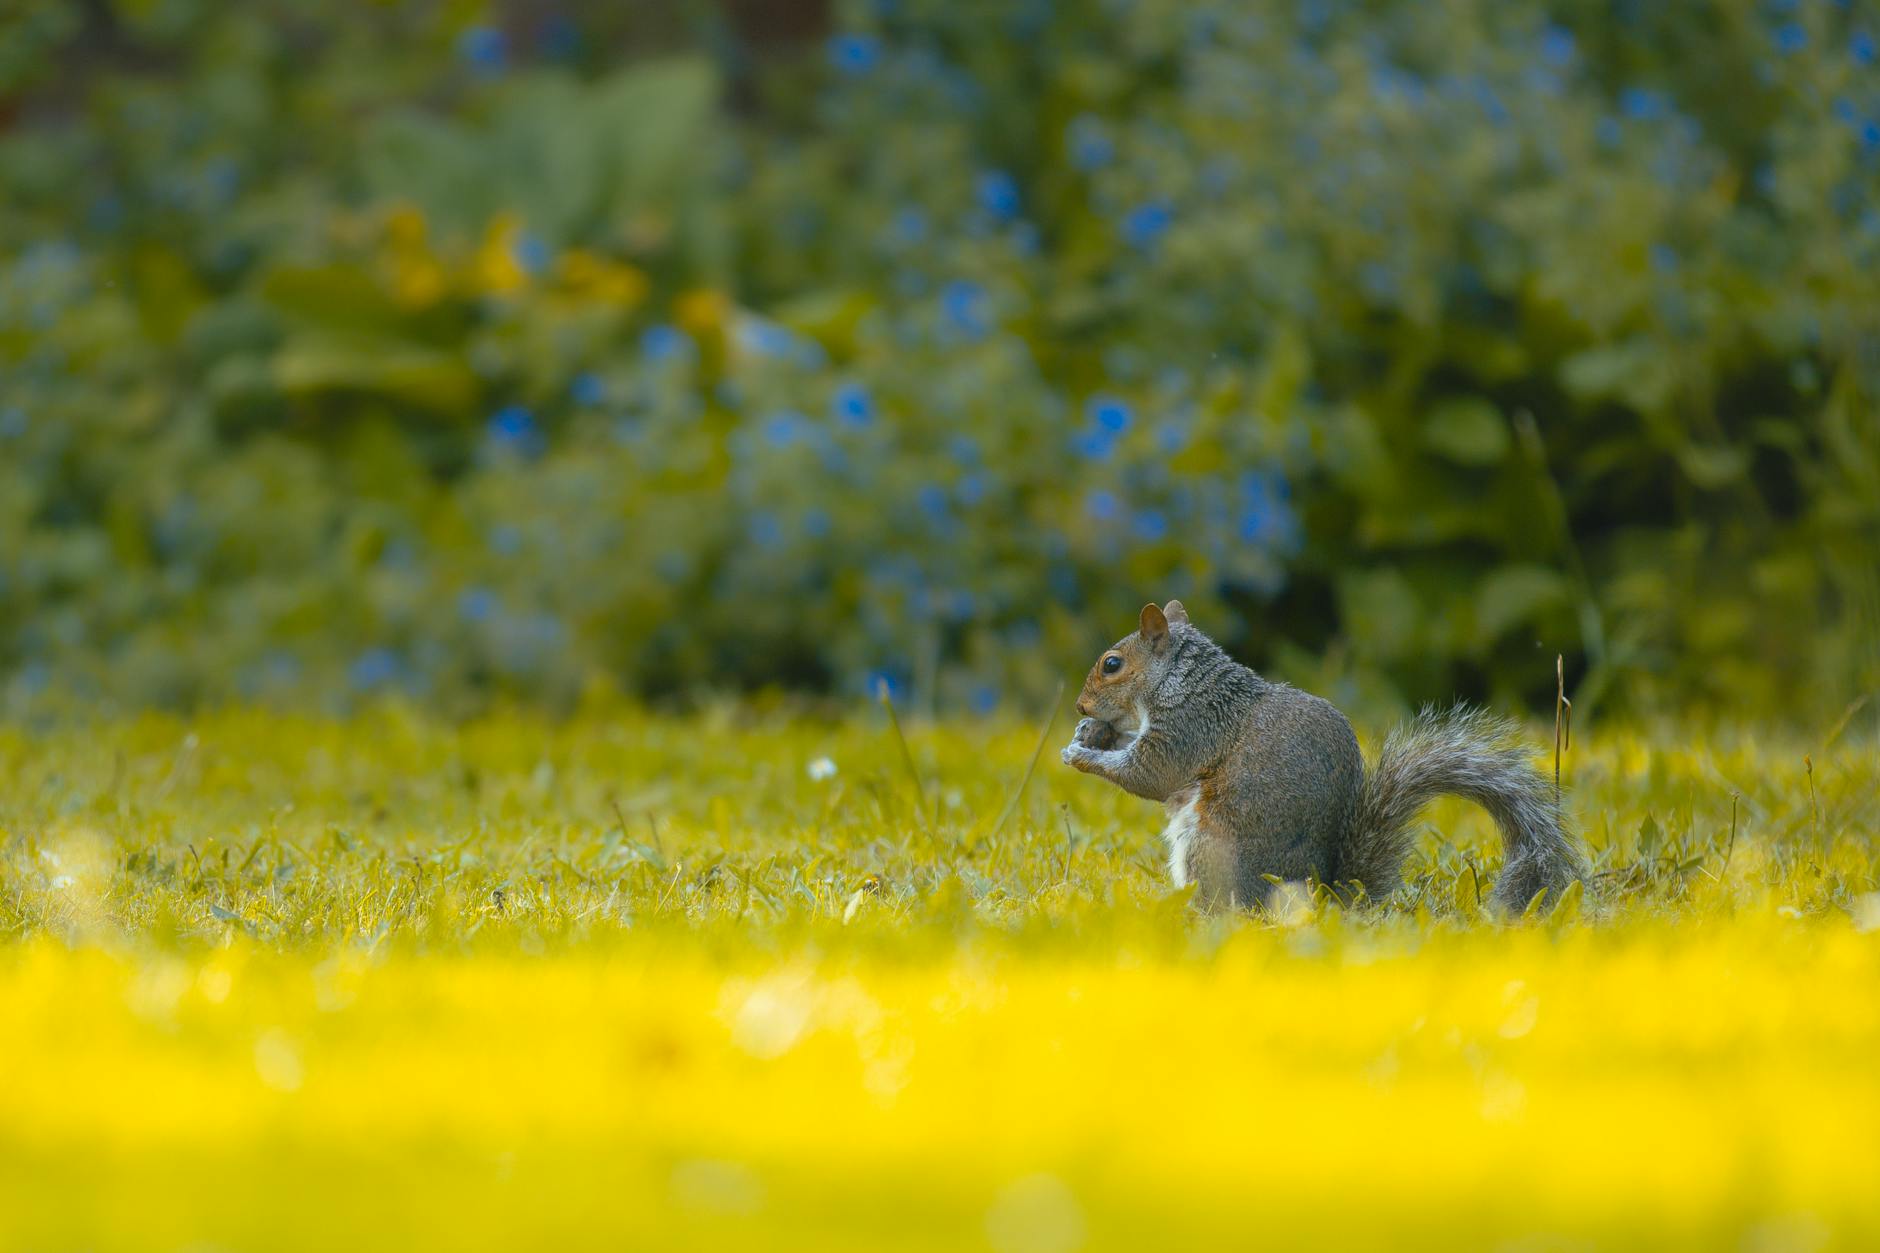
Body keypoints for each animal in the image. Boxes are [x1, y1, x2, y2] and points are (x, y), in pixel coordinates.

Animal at [1061, 601, 1588, 914]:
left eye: (1112, 665)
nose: (1081, 707)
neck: (1183, 681)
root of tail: (1327, 897)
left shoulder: (1191, 727)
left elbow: (1150, 776)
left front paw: (1082, 754)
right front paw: (1091, 735)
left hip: (1208, 847)